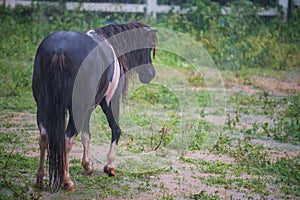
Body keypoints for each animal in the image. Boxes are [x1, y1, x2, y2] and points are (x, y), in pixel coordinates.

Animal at [32, 21, 158, 192]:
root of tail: (59, 50)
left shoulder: (88, 108)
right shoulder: (110, 102)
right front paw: (109, 167)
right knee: (67, 139)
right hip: (76, 109)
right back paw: (67, 181)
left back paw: (39, 179)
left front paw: (87, 166)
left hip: (44, 107)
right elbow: (116, 129)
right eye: (148, 47)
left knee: (44, 137)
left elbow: (86, 135)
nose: (150, 74)